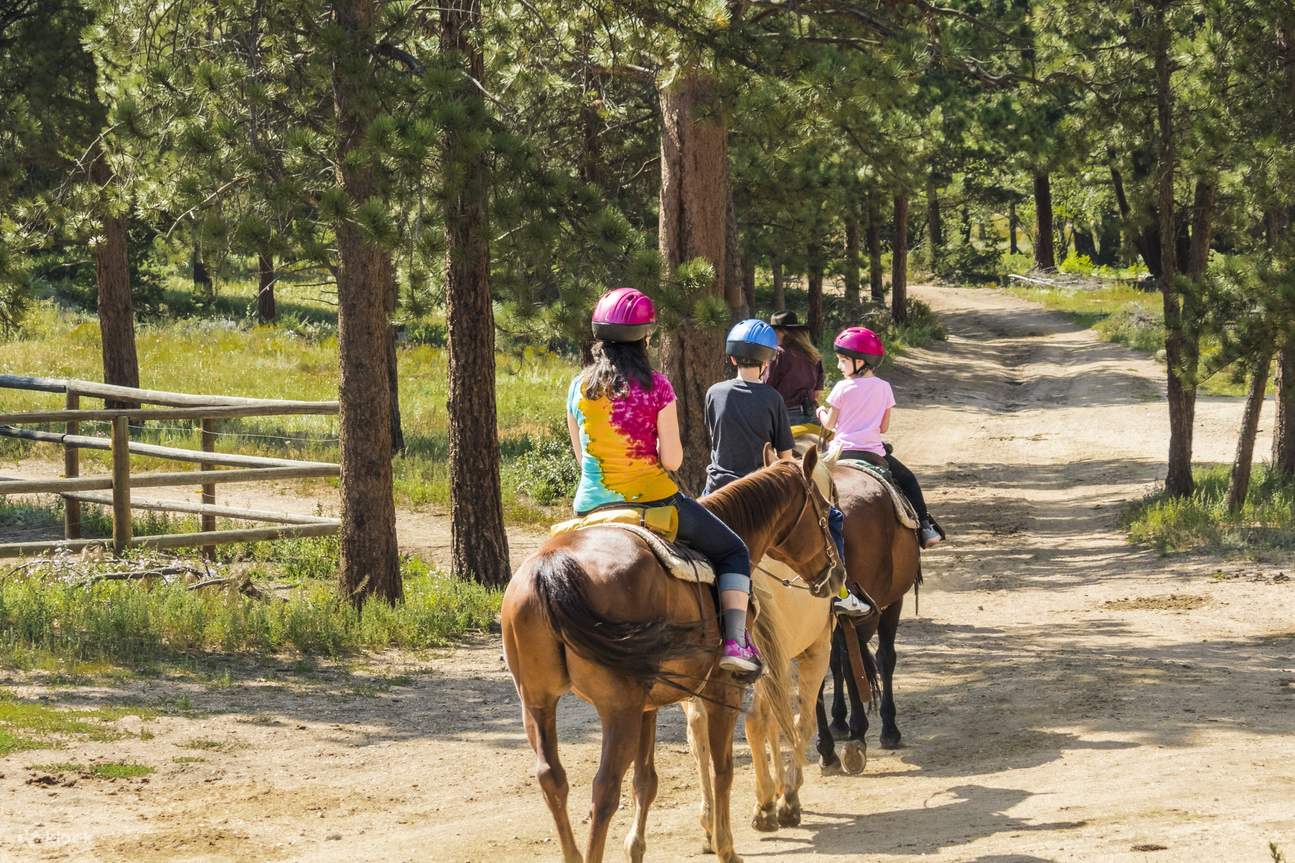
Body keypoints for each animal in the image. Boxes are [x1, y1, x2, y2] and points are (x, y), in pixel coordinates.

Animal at [501, 447, 843, 863]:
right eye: (826, 510)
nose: (837, 574)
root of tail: (551, 569)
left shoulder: (649, 705)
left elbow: (646, 780)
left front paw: (636, 848)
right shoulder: (722, 690)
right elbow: (722, 768)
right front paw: (726, 846)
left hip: (538, 702)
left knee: (553, 779)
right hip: (617, 710)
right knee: (604, 789)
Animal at [814, 458, 922, 774]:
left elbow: (836, 663)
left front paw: (839, 722)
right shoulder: (892, 602)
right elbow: (884, 658)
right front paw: (888, 728)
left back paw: (828, 749)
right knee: (857, 661)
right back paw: (856, 738)